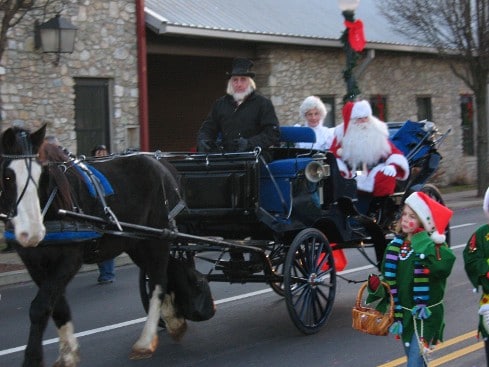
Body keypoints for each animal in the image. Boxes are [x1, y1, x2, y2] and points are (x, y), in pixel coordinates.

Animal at [0, 125, 210, 366]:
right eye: (8, 175)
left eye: (43, 174)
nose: (32, 232)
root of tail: (165, 166)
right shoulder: (34, 262)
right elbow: (57, 306)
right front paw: (68, 354)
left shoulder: (71, 258)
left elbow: (40, 307)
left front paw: (33, 358)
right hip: (137, 242)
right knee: (167, 273)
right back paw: (173, 320)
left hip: (157, 239)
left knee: (159, 281)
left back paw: (146, 340)